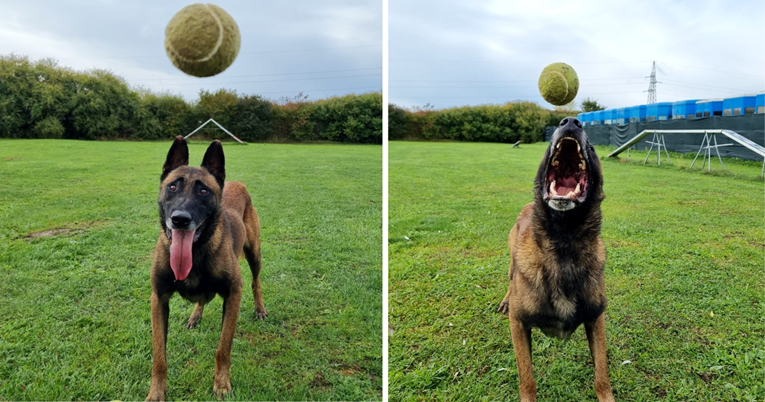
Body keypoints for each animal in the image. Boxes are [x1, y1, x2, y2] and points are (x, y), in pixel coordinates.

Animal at [145, 137, 268, 400]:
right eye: (172, 187)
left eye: (203, 191)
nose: (180, 219)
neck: (196, 252)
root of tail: (237, 183)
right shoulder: (158, 299)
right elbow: (159, 355)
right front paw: (156, 392)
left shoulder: (234, 293)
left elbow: (223, 348)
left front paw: (221, 384)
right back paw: (195, 315)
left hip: (255, 255)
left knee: (256, 282)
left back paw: (260, 309)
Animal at [496, 117, 616, 402]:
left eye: (592, 148)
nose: (571, 121)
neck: (564, 244)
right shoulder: (519, 324)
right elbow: (527, 379)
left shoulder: (596, 319)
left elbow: (601, 376)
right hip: (512, 263)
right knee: (510, 278)